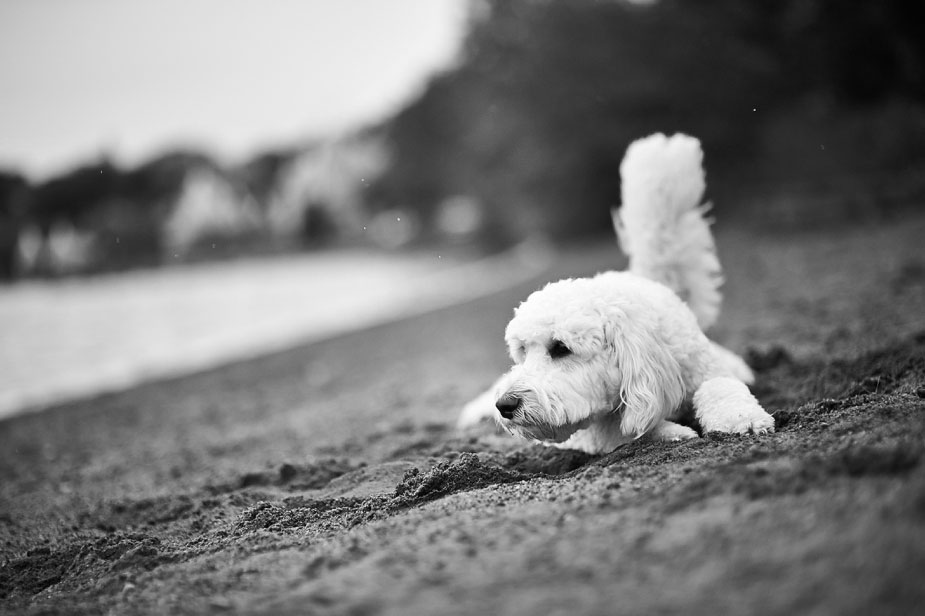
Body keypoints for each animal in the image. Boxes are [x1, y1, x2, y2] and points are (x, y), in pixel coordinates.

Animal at [460, 132, 772, 454]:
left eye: (560, 348)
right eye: (522, 352)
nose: (504, 404)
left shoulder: (704, 370)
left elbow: (721, 386)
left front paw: (741, 418)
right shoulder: (596, 427)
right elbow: (621, 429)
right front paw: (672, 433)